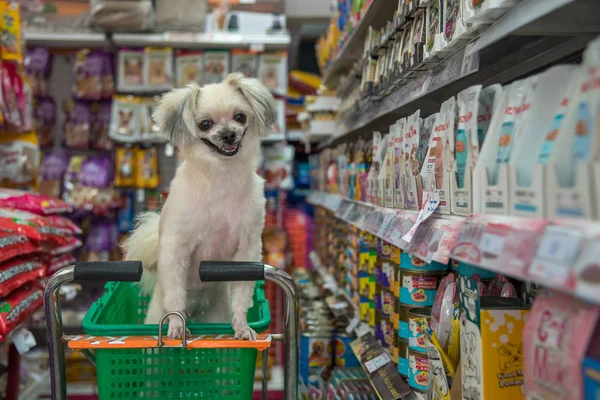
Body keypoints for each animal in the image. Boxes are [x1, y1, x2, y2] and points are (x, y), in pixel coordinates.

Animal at [124, 73, 274, 340]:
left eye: (240, 117)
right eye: (205, 124)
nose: (228, 135)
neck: (222, 178)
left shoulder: (247, 251)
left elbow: (242, 294)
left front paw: (241, 326)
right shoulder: (176, 248)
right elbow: (175, 292)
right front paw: (176, 326)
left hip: (215, 314)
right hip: (155, 313)